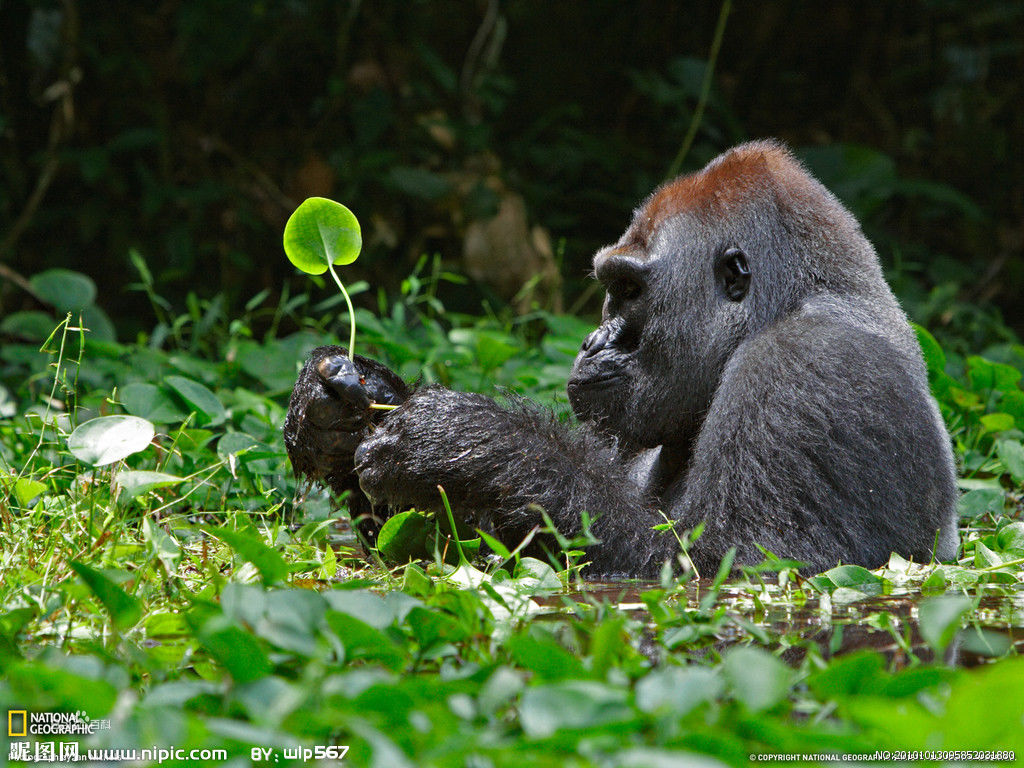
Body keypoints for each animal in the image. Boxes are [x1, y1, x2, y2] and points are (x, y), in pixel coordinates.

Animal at [282, 143, 958, 577]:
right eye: (612, 288)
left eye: (630, 291)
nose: (592, 341)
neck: (787, 302)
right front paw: (339, 410)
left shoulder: (808, 368)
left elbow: (730, 564)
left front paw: (467, 443)